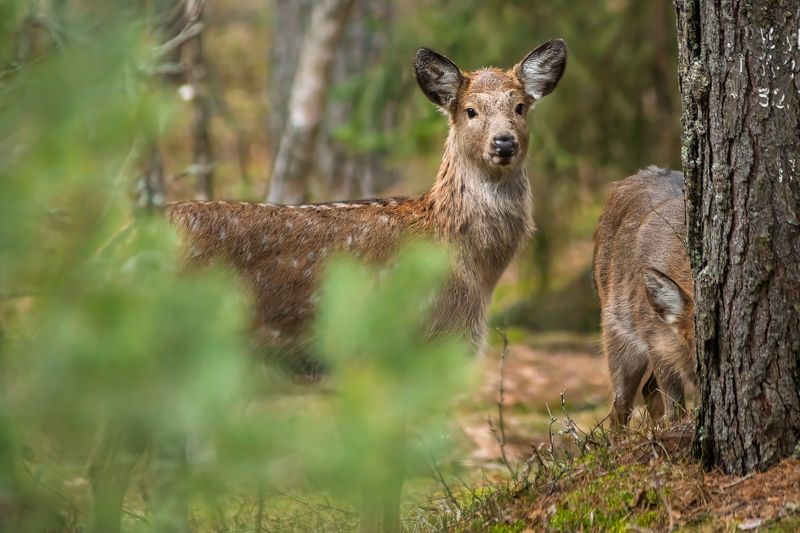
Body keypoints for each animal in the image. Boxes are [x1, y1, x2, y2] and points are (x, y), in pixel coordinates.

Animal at [87, 40, 569, 532]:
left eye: (520, 106)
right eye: (470, 110)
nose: (504, 142)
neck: (466, 263)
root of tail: (111, 251)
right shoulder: (389, 352)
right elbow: (384, 471)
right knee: (114, 465)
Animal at [592, 167, 695, 427]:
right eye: (692, 340)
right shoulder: (654, 337)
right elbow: (675, 407)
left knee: (647, 391)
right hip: (615, 332)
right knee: (620, 404)